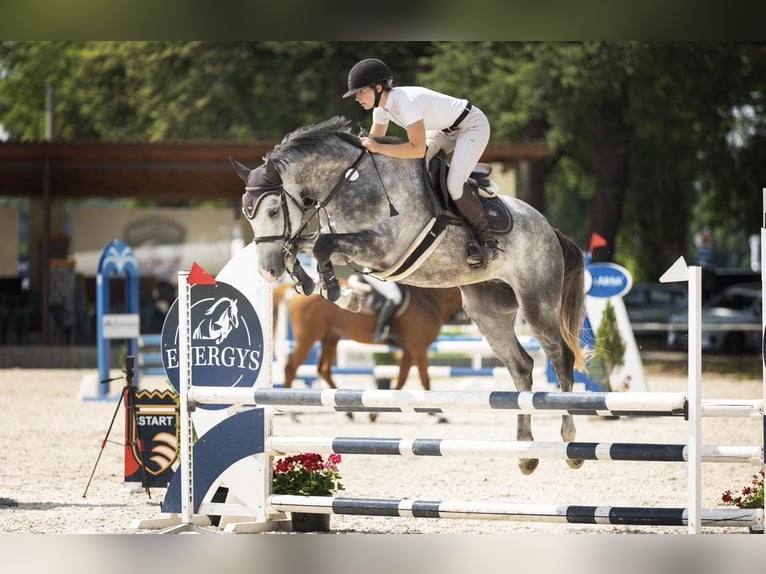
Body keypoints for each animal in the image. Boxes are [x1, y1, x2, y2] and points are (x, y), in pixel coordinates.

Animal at [272, 282, 462, 394]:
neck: (429, 300)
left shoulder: (410, 349)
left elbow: (401, 380)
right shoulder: (418, 347)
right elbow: (425, 380)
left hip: (330, 337)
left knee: (324, 369)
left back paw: (347, 413)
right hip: (308, 338)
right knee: (291, 368)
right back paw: (289, 411)